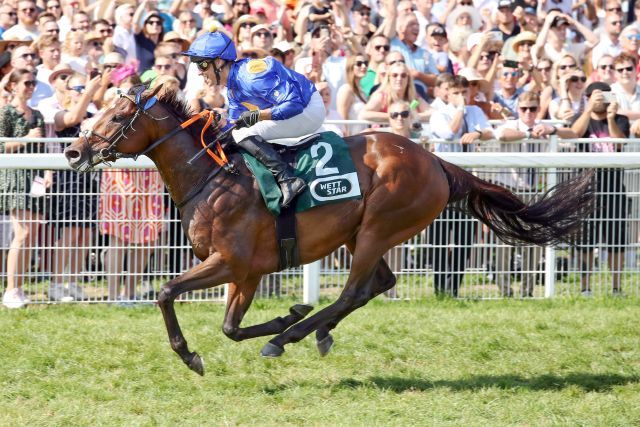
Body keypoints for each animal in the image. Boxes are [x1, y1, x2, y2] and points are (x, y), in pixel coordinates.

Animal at [65, 85, 596, 376]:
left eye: (117, 116)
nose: (73, 150)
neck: (212, 176)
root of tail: (438, 162)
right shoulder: (246, 273)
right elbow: (229, 327)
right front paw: (283, 317)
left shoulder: (233, 263)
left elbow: (167, 293)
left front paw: (195, 353)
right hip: (360, 234)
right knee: (379, 284)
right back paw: (310, 330)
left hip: (378, 226)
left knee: (354, 291)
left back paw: (294, 335)